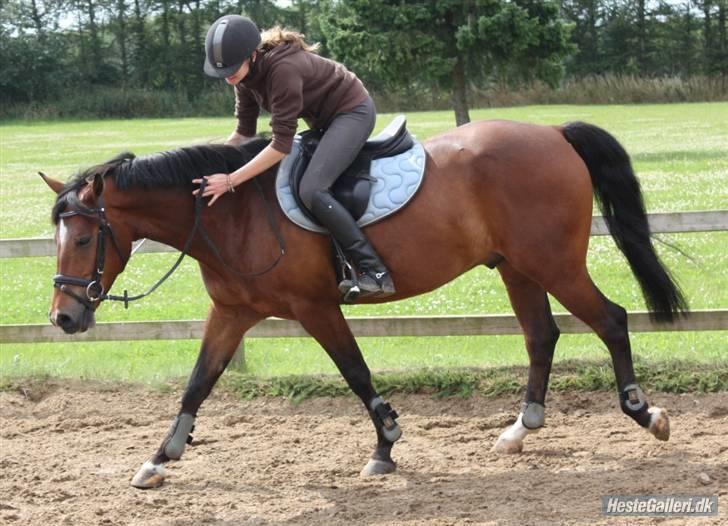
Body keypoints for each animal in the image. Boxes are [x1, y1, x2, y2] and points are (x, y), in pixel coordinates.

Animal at [42, 119, 688, 489]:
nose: (63, 319)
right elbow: (198, 382)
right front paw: (159, 458)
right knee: (541, 335)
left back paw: (644, 413)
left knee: (610, 320)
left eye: (84, 239)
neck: (232, 214)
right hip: (516, 268)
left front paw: (385, 447)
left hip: (553, 263)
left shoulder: (317, 308)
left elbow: (355, 373)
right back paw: (518, 430)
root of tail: (552, 133)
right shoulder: (232, 314)